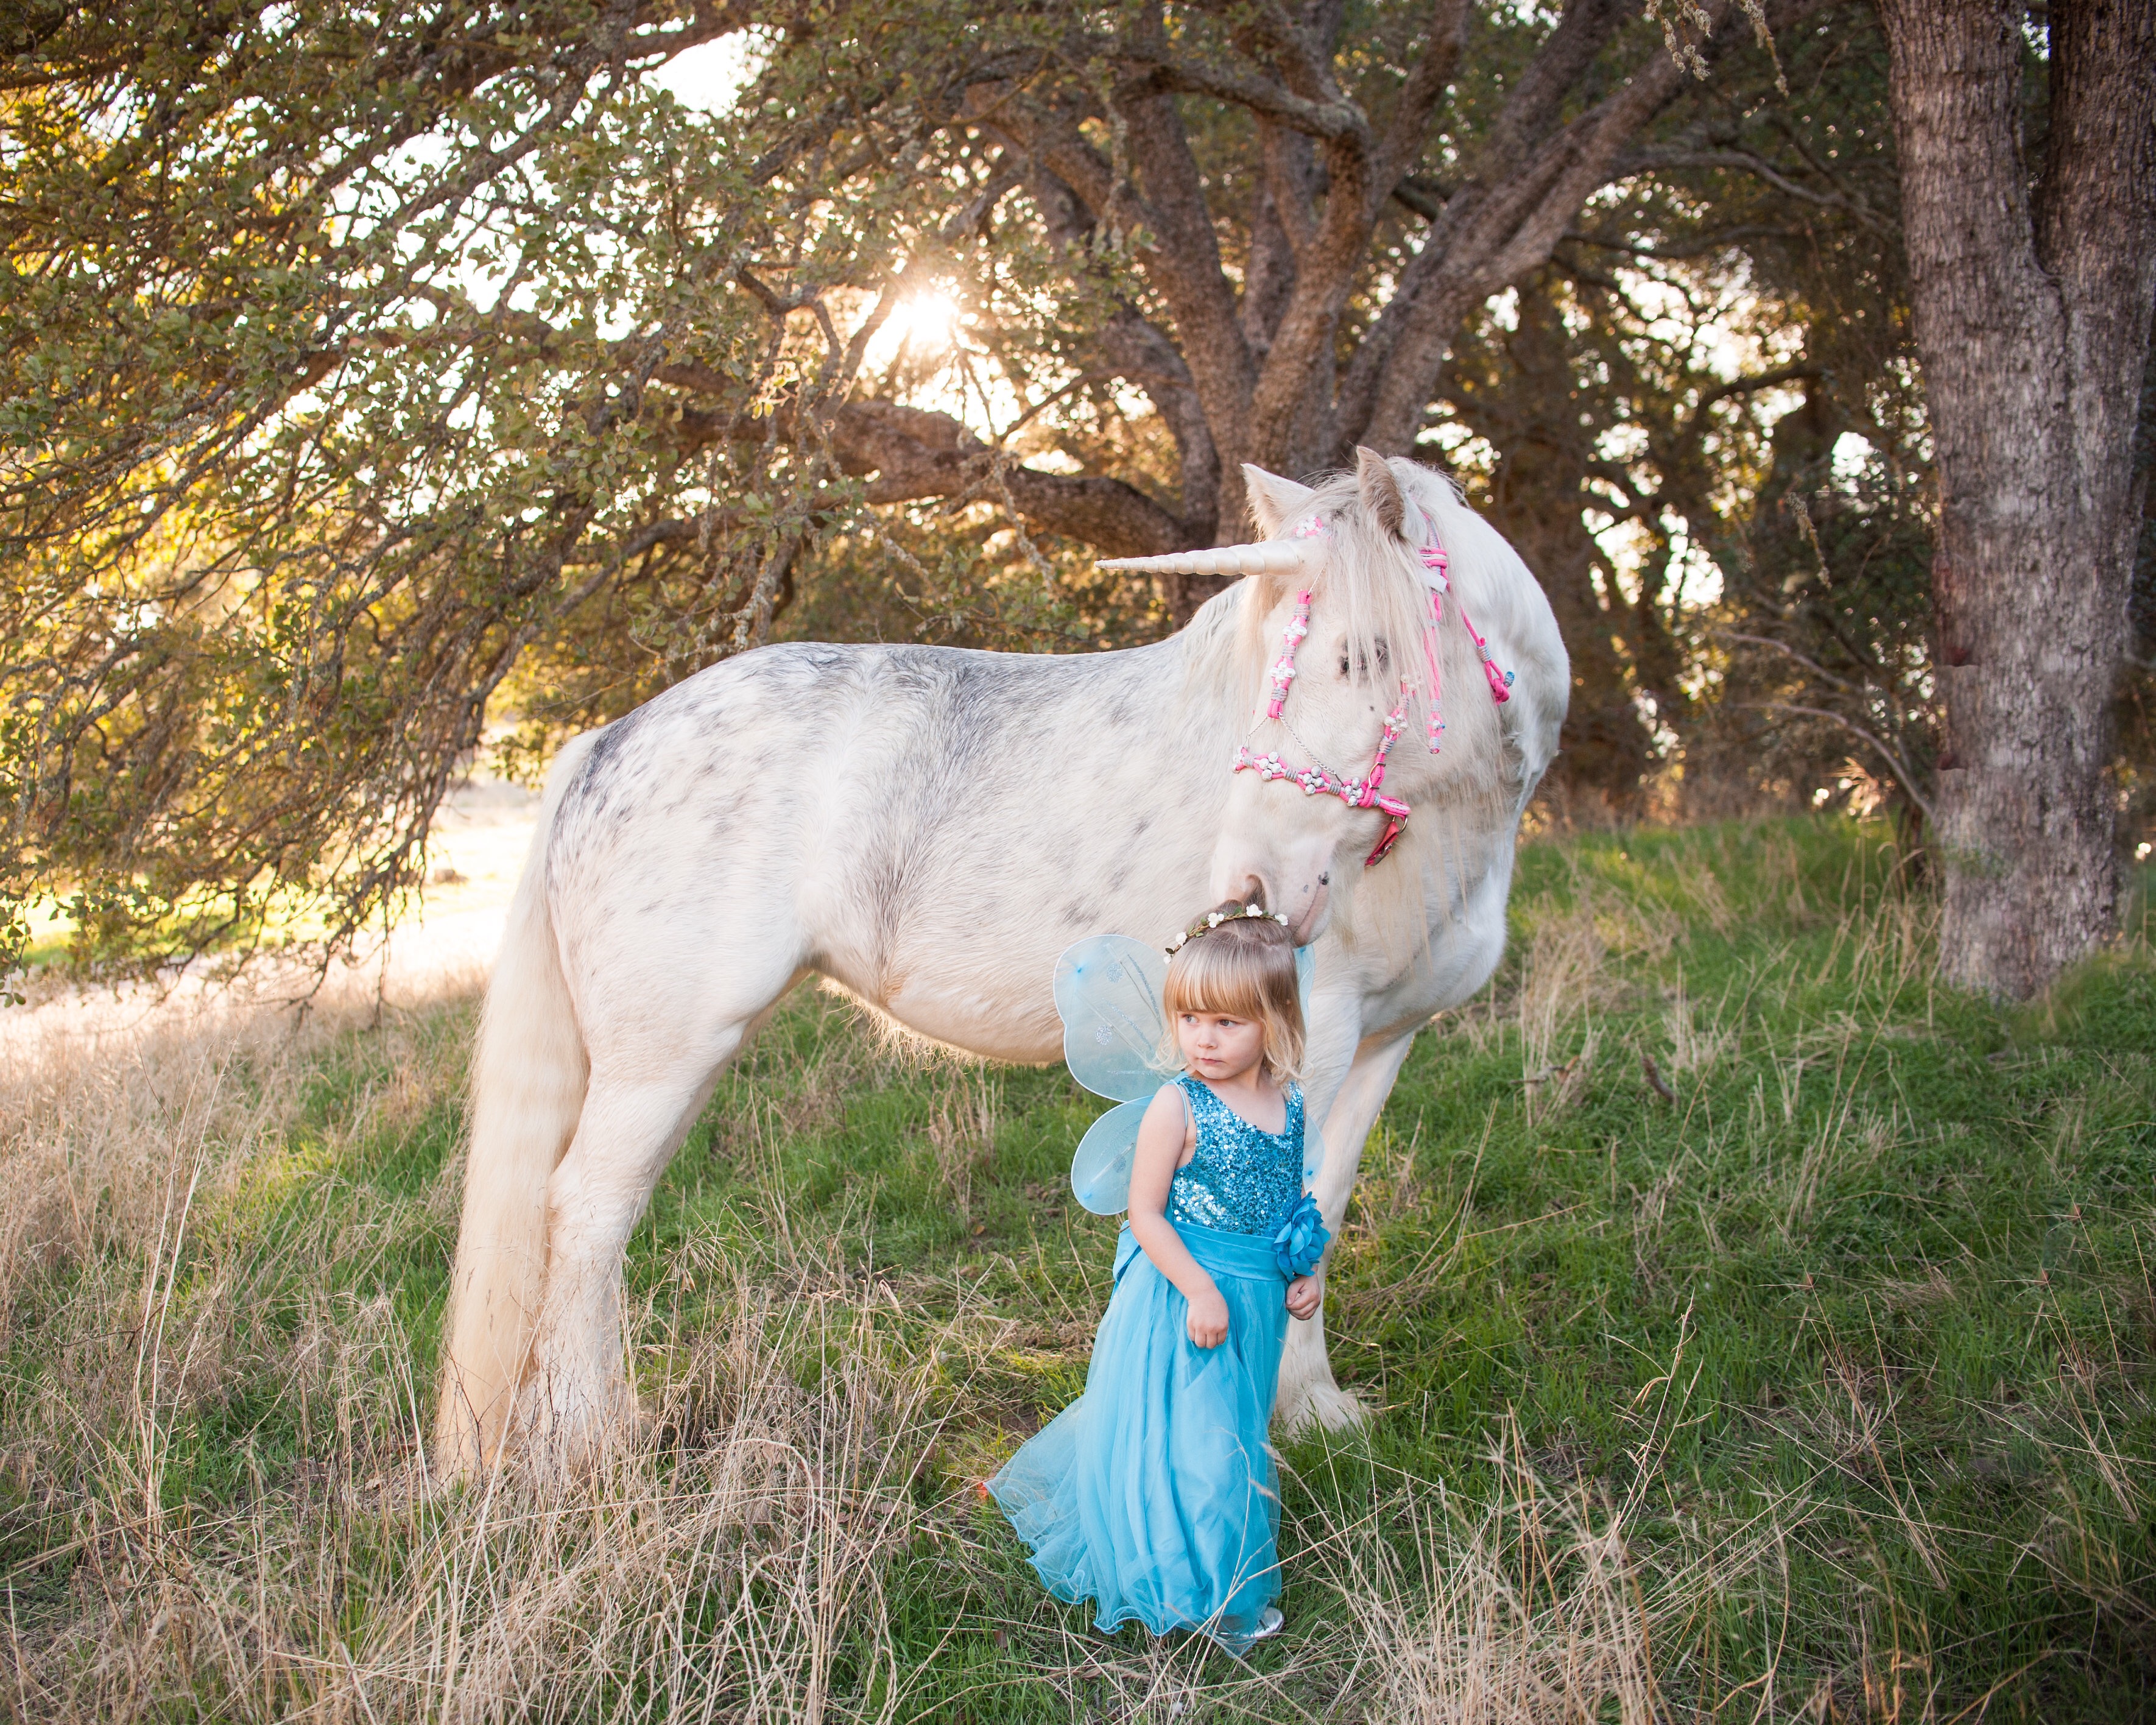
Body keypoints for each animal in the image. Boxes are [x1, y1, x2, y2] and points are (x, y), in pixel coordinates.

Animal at [433, 444, 1569, 1466]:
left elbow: (1321, 1214)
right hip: (664, 1057)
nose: (1250, 888)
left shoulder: (1382, 1043)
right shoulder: (1313, 1043)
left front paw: (1317, 1411)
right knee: (585, 1215)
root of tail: (606, 741)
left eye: (1363, 657)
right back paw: (587, 1446)